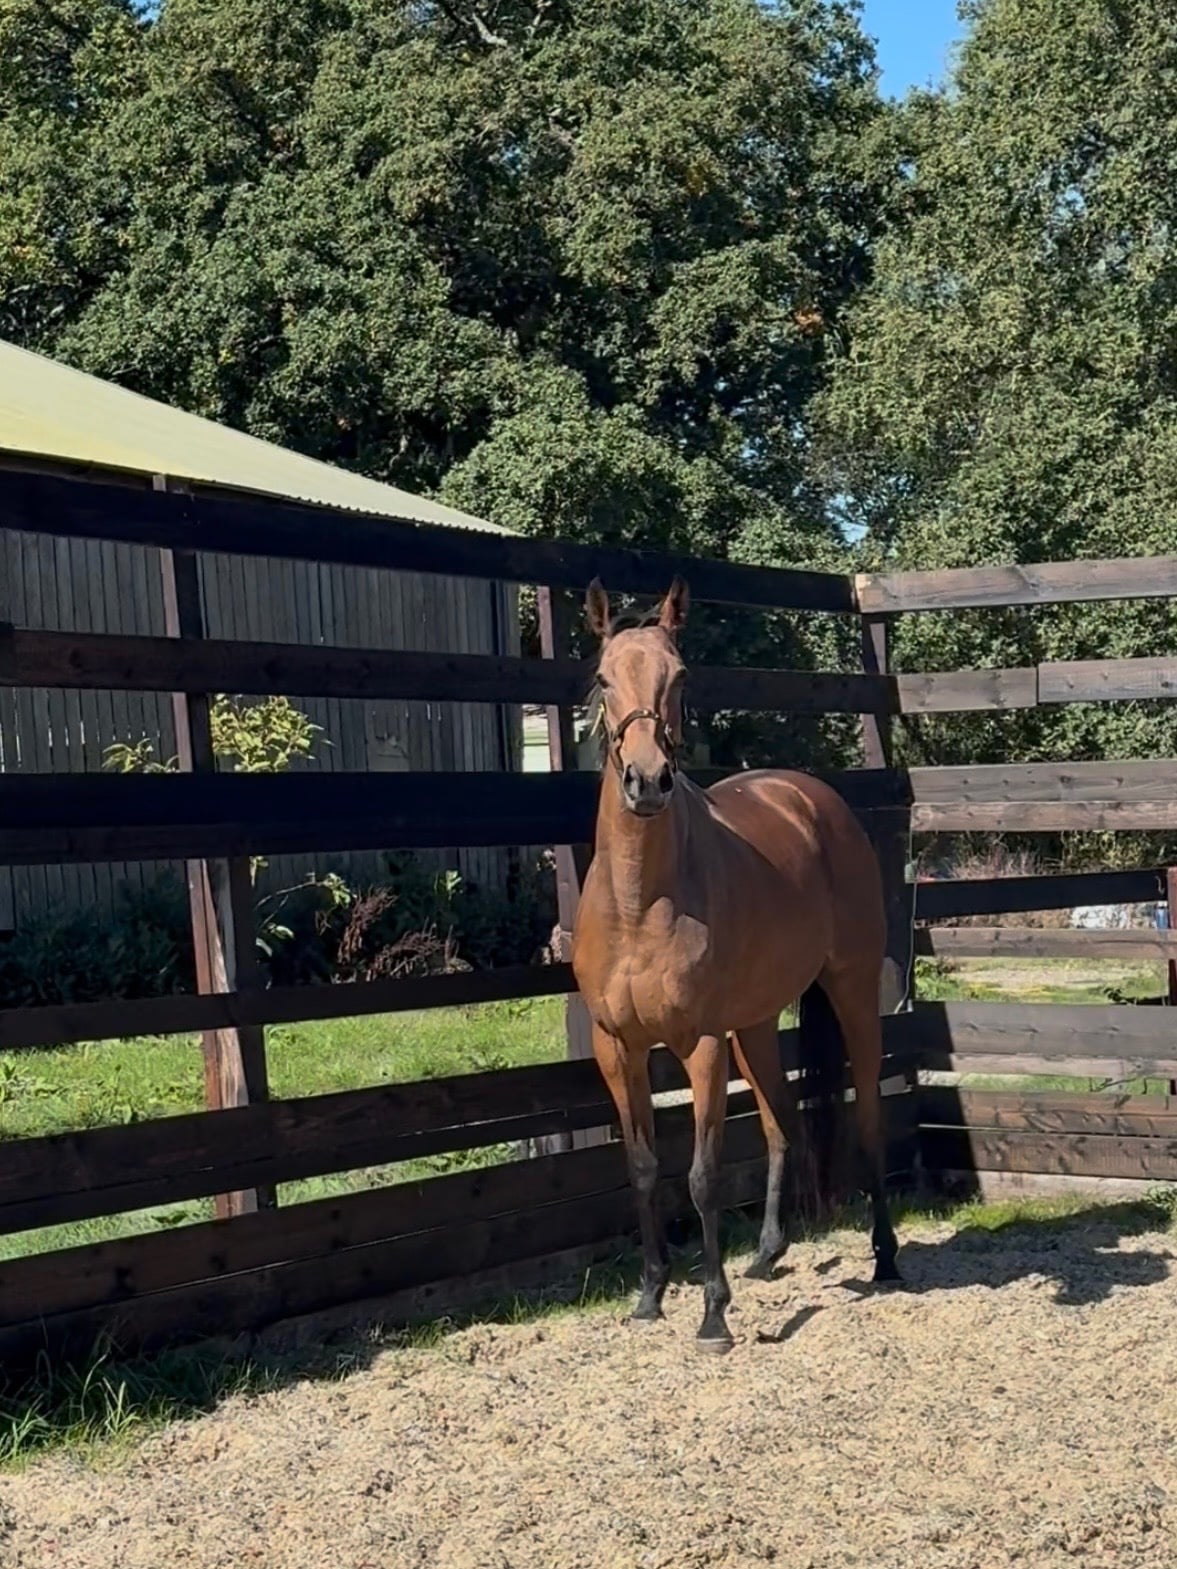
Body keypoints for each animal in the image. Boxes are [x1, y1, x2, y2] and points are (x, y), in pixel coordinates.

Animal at [570, 575, 901, 1351]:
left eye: (681, 677)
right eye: (604, 678)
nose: (648, 782)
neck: (639, 901)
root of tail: (811, 796)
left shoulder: (700, 1045)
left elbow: (702, 1175)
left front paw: (713, 1314)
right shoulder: (616, 1046)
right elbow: (642, 1167)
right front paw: (650, 1293)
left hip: (846, 991)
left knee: (869, 1115)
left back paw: (885, 1257)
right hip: (754, 1025)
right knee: (782, 1124)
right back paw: (768, 1253)